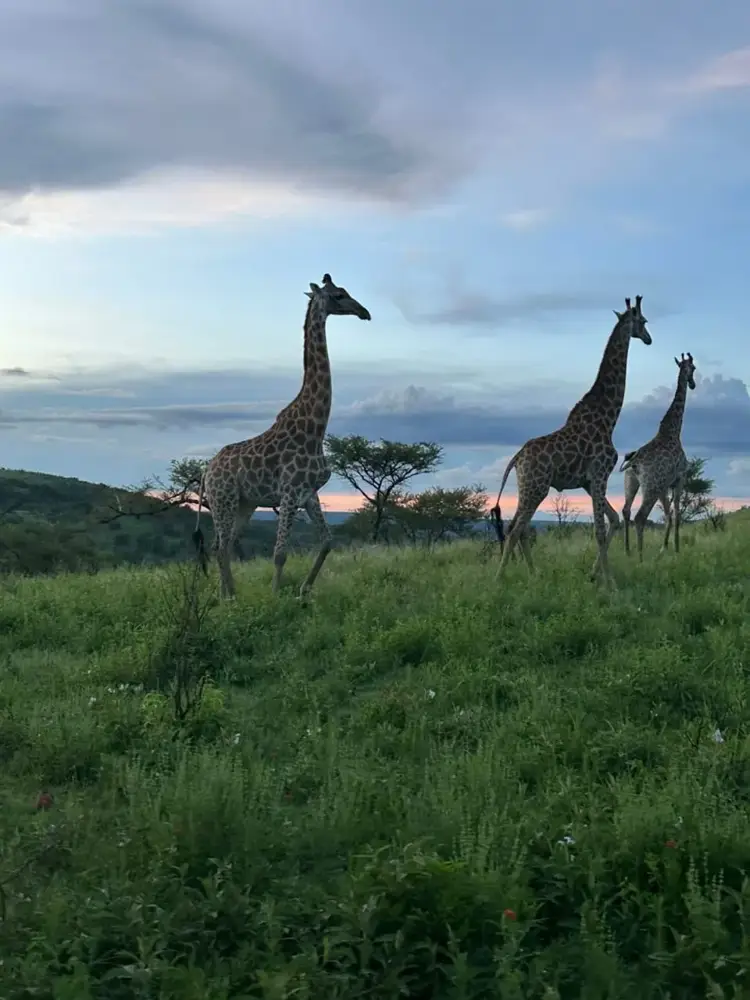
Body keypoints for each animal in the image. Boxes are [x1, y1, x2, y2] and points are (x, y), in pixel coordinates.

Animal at [193, 273, 371, 599]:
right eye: (339, 295)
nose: (364, 312)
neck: (315, 429)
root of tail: (206, 471)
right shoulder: (289, 492)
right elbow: (279, 553)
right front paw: (276, 597)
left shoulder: (309, 493)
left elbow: (328, 542)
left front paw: (303, 590)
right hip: (223, 498)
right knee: (220, 545)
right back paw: (228, 596)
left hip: (244, 503)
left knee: (223, 545)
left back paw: (229, 594)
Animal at [493, 295, 652, 587]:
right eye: (643, 321)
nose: (648, 339)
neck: (608, 417)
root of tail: (517, 457)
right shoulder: (599, 474)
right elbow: (599, 530)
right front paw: (610, 584)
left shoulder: (589, 482)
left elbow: (613, 520)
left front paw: (594, 575)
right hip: (536, 487)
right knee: (515, 529)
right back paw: (498, 579)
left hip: (528, 487)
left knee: (517, 527)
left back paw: (534, 574)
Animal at [621, 352, 696, 560]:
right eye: (694, 368)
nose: (693, 384)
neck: (673, 431)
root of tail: (634, 462)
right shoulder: (680, 478)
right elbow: (677, 514)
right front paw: (676, 548)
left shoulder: (664, 485)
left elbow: (669, 515)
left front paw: (664, 548)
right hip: (651, 486)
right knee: (640, 516)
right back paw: (640, 558)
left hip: (632, 482)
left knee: (626, 510)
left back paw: (628, 550)